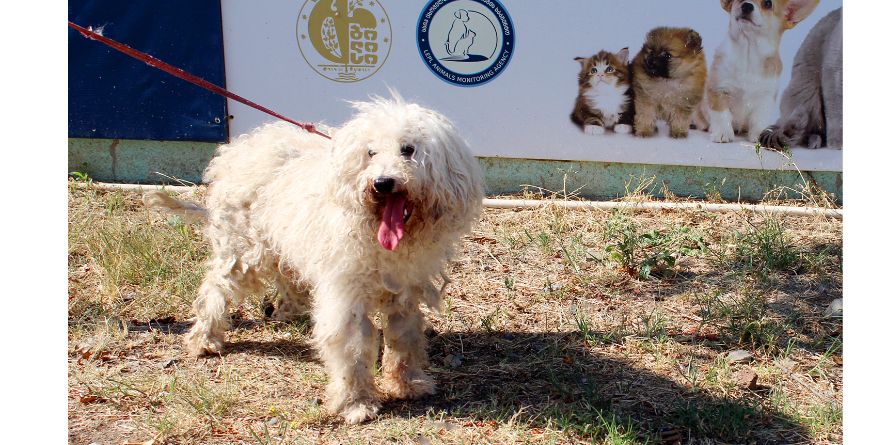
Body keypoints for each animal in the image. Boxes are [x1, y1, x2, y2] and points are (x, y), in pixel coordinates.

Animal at [145, 95, 486, 422]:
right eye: (371, 153)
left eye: (408, 150)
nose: (382, 182)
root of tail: (238, 149)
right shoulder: (346, 294)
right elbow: (352, 349)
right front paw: (356, 403)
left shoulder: (403, 290)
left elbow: (404, 339)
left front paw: (408, 383)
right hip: (241, 250)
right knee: (215, 289)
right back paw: (204, 338)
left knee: (285, 275)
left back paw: (288, 311)